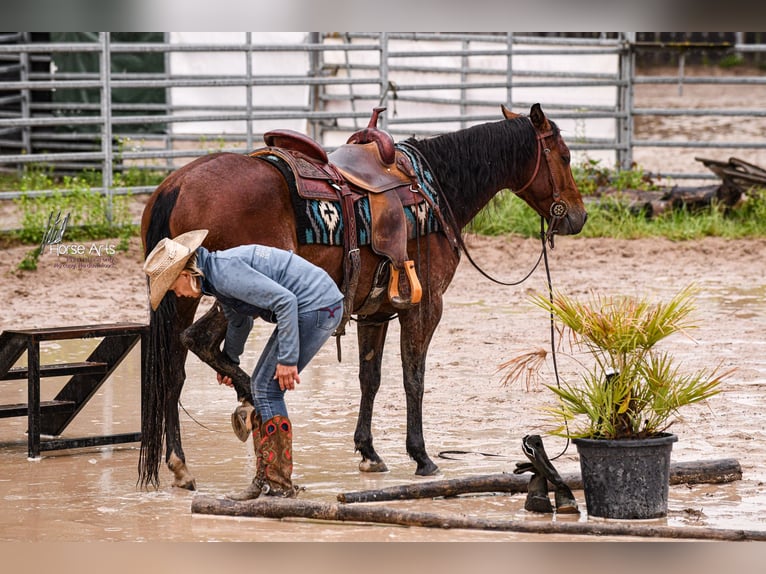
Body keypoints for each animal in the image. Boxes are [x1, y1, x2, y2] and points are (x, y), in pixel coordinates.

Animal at [138, 103, 587, 490]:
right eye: (565, 156)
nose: (579, 216)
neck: (433, 189)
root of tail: (177, 184)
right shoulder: (425, 307)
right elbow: (413, 377)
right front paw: (421, 456)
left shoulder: (374, 312)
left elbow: (369, 378)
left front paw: (369, 452)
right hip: (234, 289)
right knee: (197, 341)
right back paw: (247, 402)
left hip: (181, 295)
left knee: (173, 369)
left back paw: (181, 463)